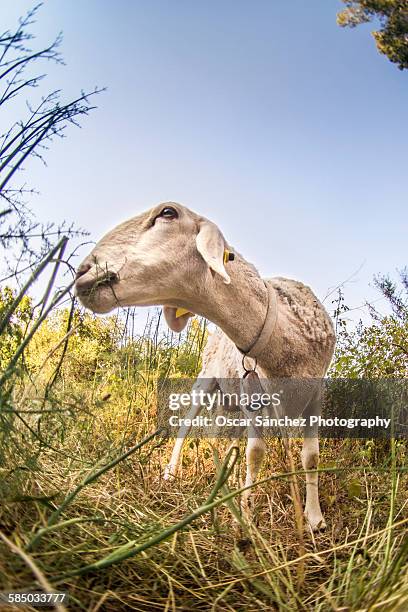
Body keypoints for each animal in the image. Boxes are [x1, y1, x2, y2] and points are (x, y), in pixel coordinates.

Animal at [75, 202, 334, 532]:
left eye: (168, 213)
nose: (82, 271)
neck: (280, 345)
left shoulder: (315, 395)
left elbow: (311, 457)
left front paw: (315, 519)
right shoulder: (255, 397)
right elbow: (255, 454)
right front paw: (247, 518)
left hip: (232, 397)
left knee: (225, 438)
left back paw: (228, 479)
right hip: (207, 380)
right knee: (189, 425)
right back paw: (174, 474)